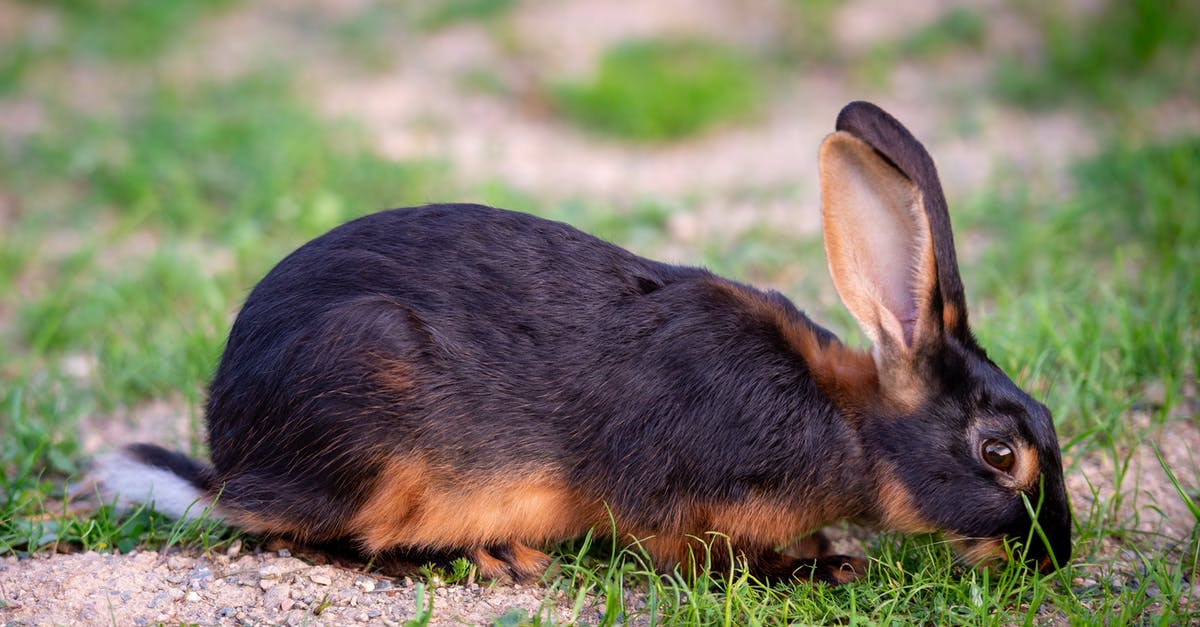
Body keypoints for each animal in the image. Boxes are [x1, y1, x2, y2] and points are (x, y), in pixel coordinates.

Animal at [91, 100, 1070, 583]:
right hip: (369, 415)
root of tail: (230, 458)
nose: (1053, 554)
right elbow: (699, 558)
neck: (847, 424)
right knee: (329, 537)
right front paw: (826, 567)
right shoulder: (683, 505)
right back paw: (491, 556)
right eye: (1000, 452)